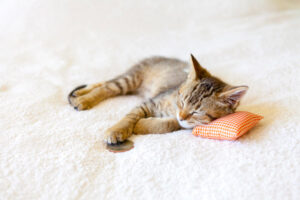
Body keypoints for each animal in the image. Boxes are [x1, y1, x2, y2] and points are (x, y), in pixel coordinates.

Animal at [68, 54, 248, 144]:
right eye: (182, 100)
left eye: (197, 112)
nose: (182, 115)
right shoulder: (150, 102)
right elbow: (130, 116)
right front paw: (117, 130)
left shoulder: (179, 121)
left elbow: (169, 124)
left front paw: (141, 126)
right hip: (130, 79)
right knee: (106, 87)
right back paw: (83, 99)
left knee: (105, 84)